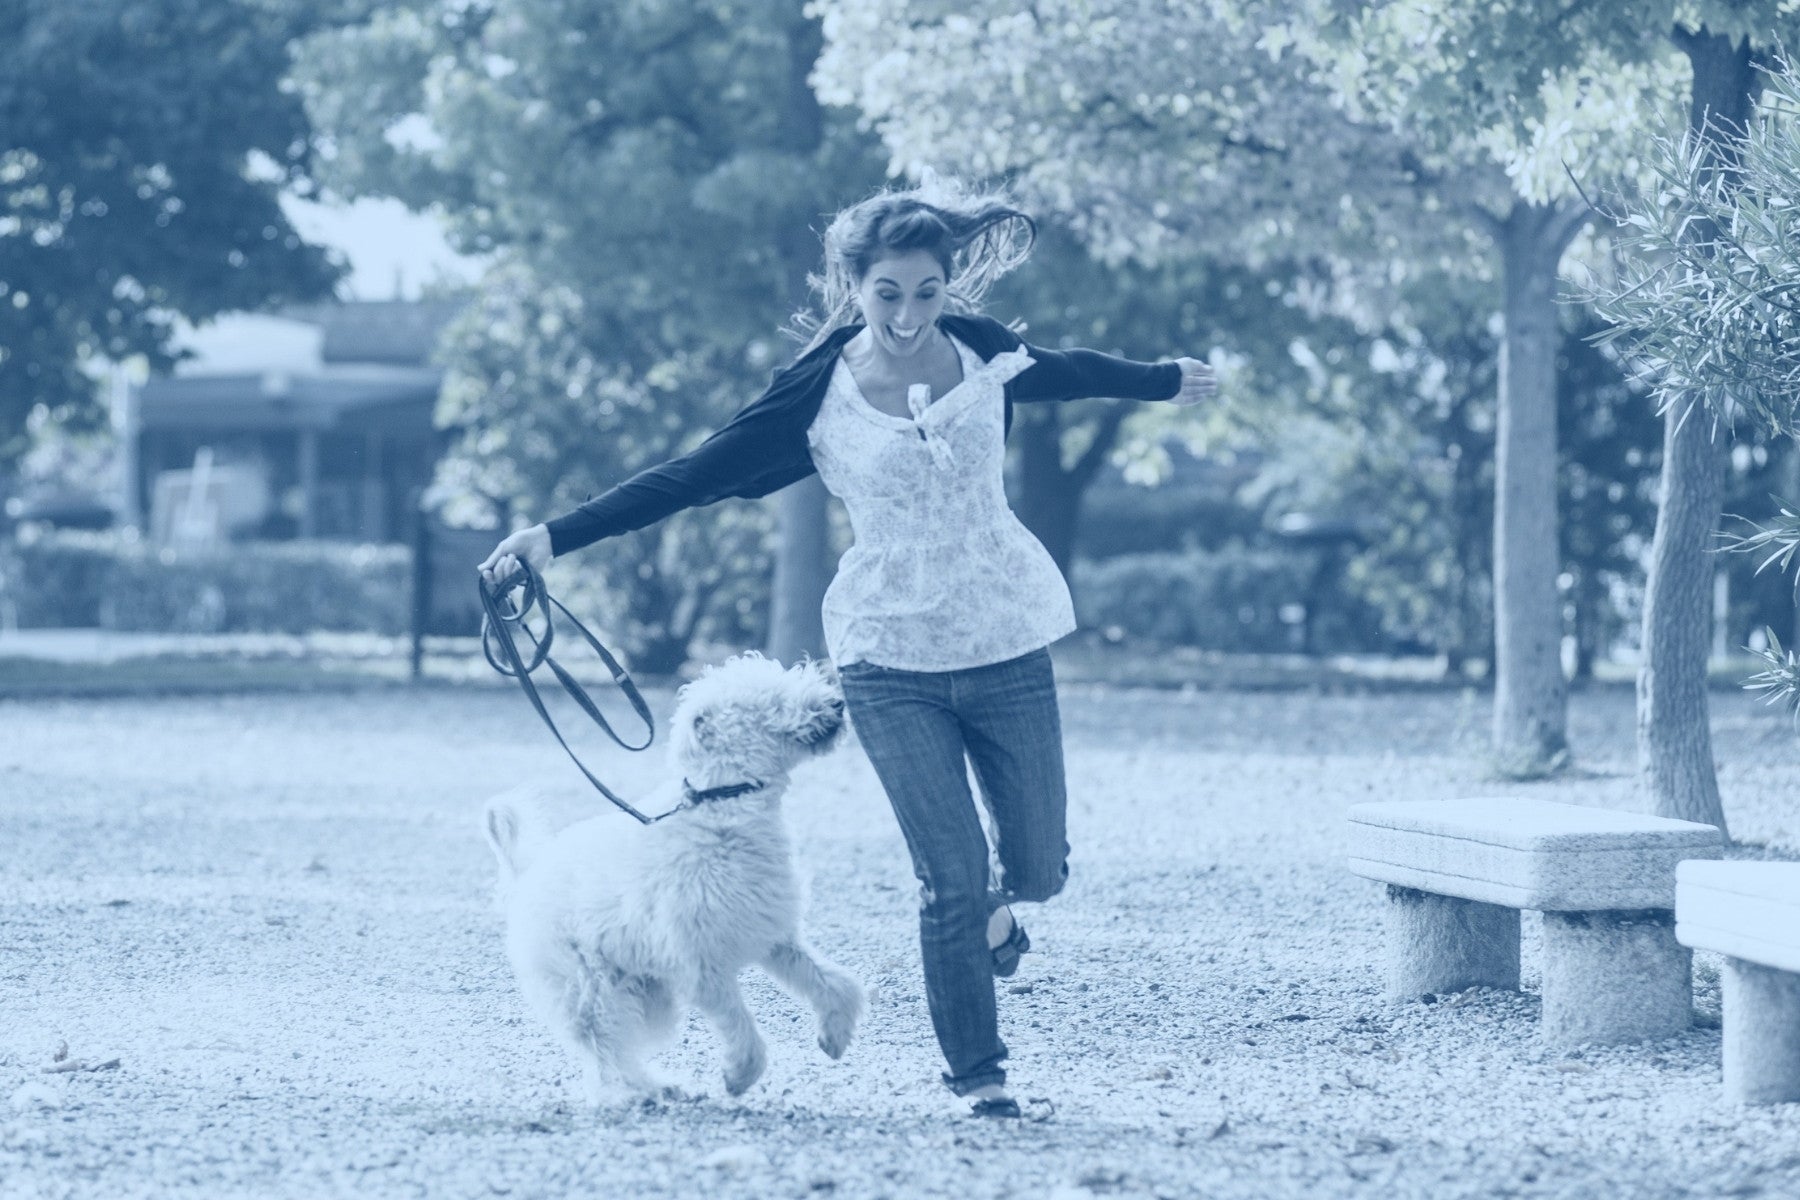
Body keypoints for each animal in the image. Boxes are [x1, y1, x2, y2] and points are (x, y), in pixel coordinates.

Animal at [486, 658, 864, 1108]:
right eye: (772, 699)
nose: (838, 703)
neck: (723, 809)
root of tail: (528, 869)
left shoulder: (775, 938)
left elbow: (835, 983)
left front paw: (835, 1035)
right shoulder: (702, 966)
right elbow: (741, 1025)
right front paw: (739, 1075)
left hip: (647, 993)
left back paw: (657, 1086)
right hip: (590, 988)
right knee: (604, 1049)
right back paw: (635, 1092)